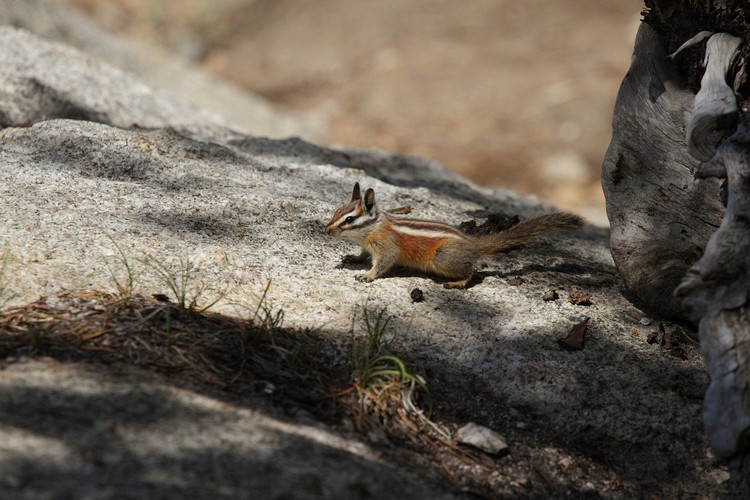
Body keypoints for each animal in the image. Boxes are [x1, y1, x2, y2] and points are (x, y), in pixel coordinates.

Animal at [325, 182, 584, 288]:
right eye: (336, 211)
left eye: (349, 220)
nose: (326, 230)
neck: (372, 228)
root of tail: (473, 245)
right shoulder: (366, 245)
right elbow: (362, 254)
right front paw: (353, 259)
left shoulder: (386, 247)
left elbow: (383, 263)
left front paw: (367, 275)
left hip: (442, 256)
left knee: (473, 271)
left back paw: (458, 282)